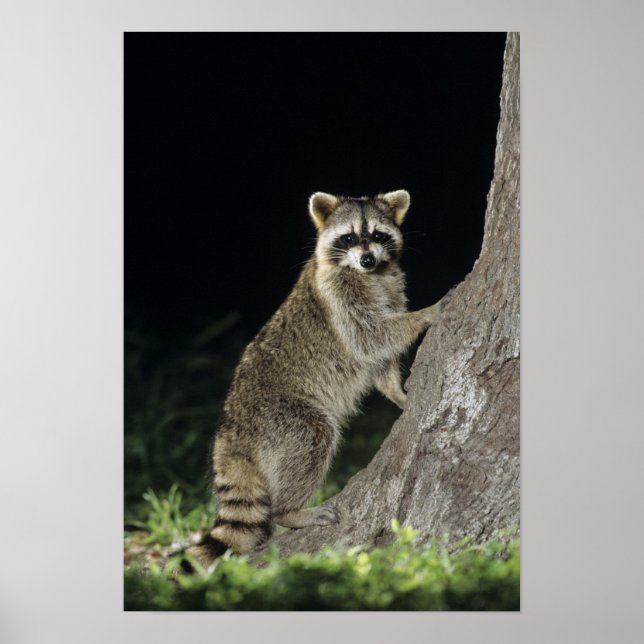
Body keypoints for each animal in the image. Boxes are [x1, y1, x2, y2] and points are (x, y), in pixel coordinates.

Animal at [185, 190, 449, 568]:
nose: (367, 259)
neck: (371, 274)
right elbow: (370, 338)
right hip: (282, 417)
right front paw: (426, 313)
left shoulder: (391, 288)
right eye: (349, 238)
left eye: (378, 235)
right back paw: (290, 511)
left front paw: (395, 390)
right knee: (314, 436)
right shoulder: (340, 299)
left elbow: (378, 357)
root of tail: (230, 430)